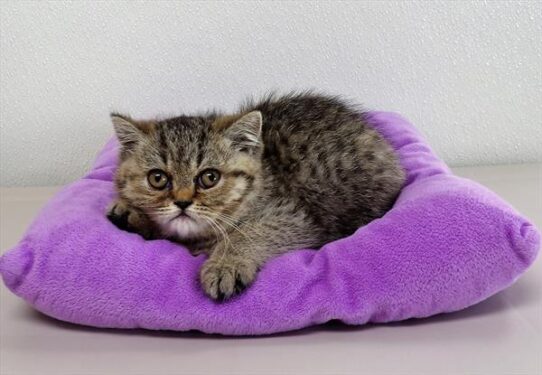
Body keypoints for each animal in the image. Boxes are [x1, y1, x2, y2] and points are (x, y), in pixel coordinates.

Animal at [108, 92, 406, 302]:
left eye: (209, 177)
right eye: (157, 178)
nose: (182, 202)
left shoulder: (298, 218)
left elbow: (247, 233)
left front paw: (225, 265)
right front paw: (130, 213)